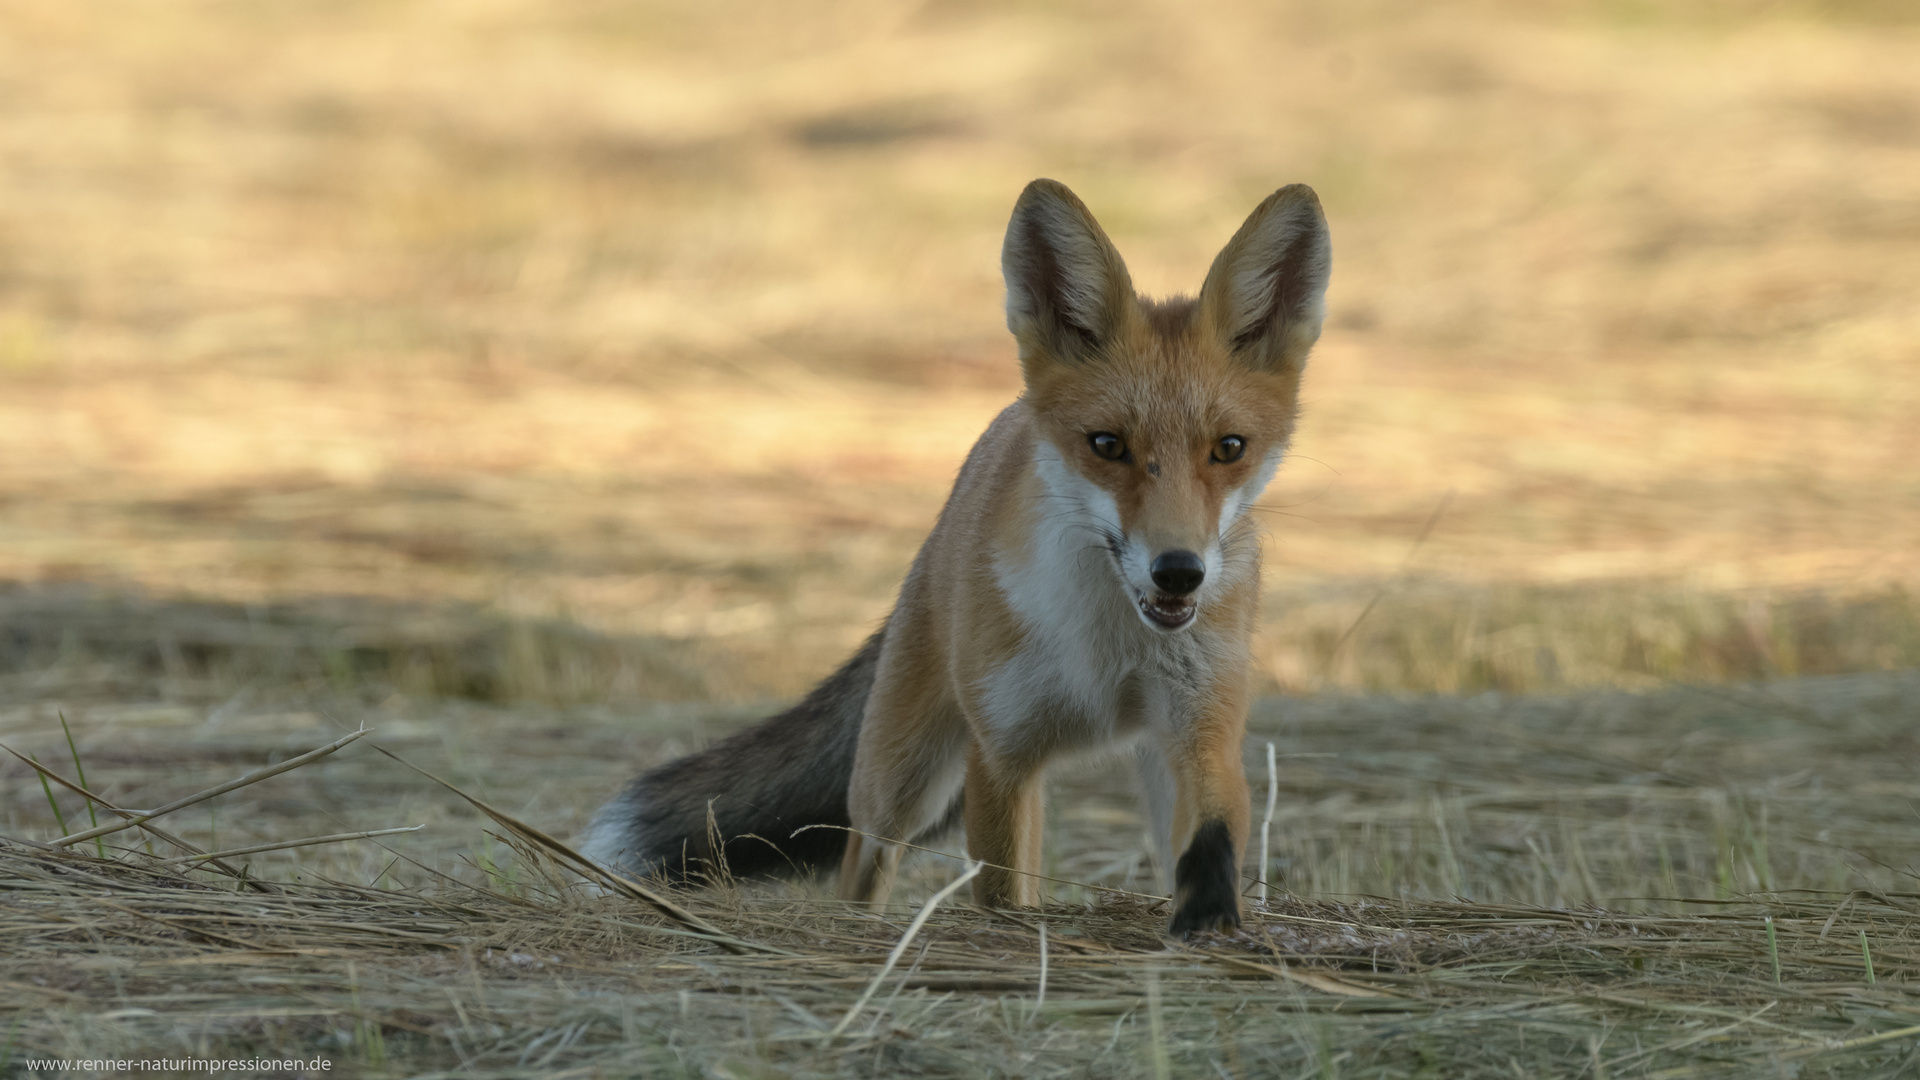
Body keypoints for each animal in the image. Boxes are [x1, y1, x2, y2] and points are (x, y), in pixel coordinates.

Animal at [579, 178, 1336, 933]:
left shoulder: (1203, 727)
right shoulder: (1002, 753)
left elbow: (1212, 836)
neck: (1107, 646)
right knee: (863, 861)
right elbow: (1000, 895)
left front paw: (1210, 921)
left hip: (1138, 759)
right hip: (900, 778)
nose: (1179, 570)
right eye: (1107, 445)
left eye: (1230, 448)